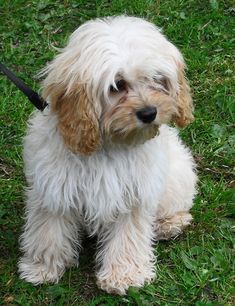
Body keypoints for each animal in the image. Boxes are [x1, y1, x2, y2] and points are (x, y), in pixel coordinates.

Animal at [19, 16, 197, 294]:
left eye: (157, 79)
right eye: (117, 85)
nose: (149, 113)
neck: (110, 144)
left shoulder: (133, 193)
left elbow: (128, 234)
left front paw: (124, 275)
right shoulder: (54, 188)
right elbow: (48, 229)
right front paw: (42, 267)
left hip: (177, 173)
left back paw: (170, 224)